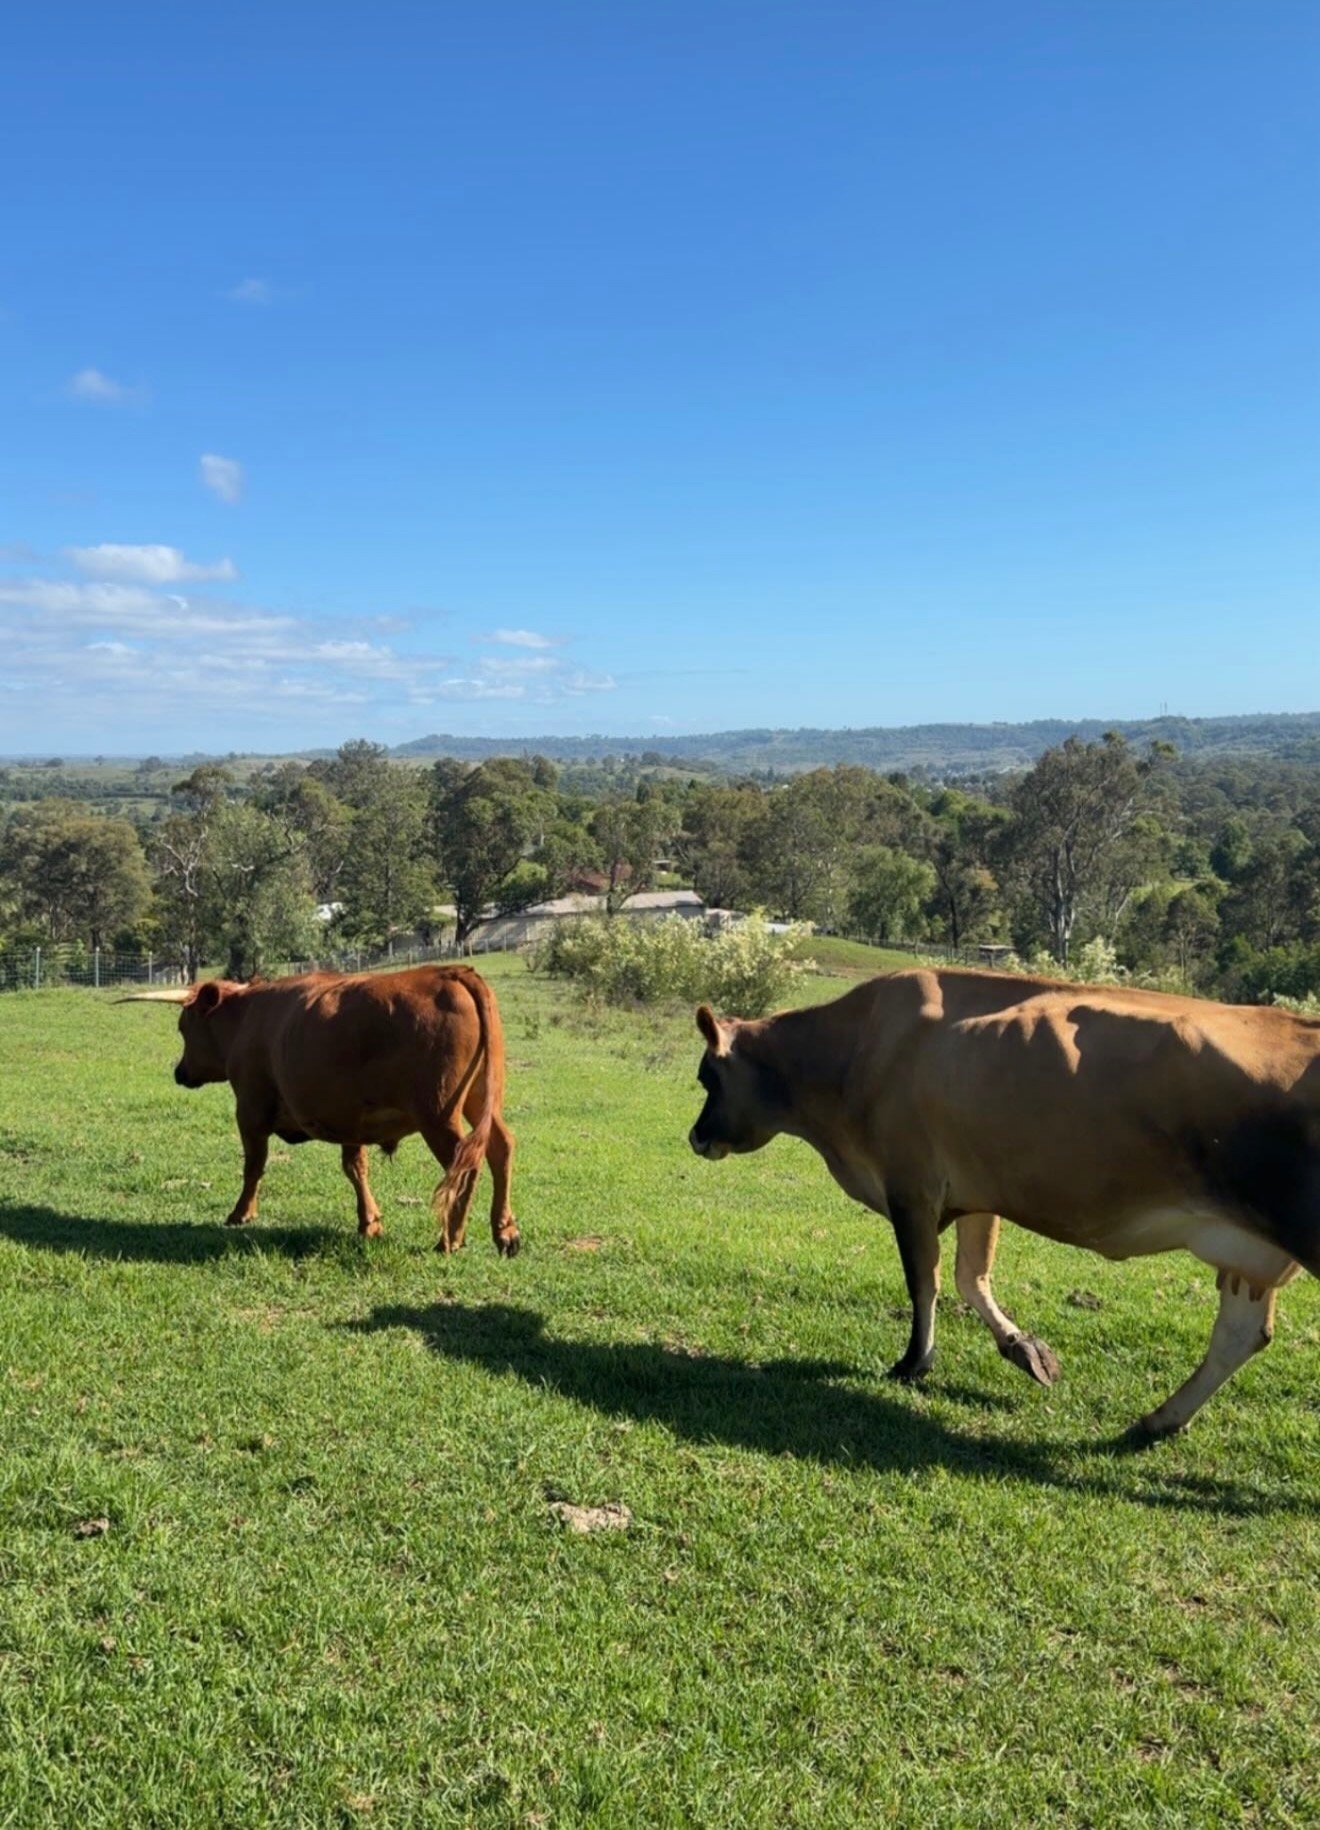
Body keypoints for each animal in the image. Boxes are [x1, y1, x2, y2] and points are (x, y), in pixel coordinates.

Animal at [121, 964, 520, 1255]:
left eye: (183, 1027)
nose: (180, 1072)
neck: (246, 1018)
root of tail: (449, 971)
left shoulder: (250, 1108)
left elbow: (254, 1166)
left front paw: (241, 1213)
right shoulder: (350, 1118)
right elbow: (355, 1168)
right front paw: (369, 1222)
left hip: (437, 1114)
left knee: (465, 1165)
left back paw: (450, 1238)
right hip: (481, 1100)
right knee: (500, 1147)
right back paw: (505, 1232)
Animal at [688, 966, 1320, 1437]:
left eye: (707, 1078)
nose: (695, 1137)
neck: (850, 1052)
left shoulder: (910, 1185)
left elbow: (925, 1280)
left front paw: (914, 1362)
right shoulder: (975, 1187)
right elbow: (972, 1276)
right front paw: (1024, 1349)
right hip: (1250, 1253)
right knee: (1240, 1335)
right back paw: (1157, 1422)